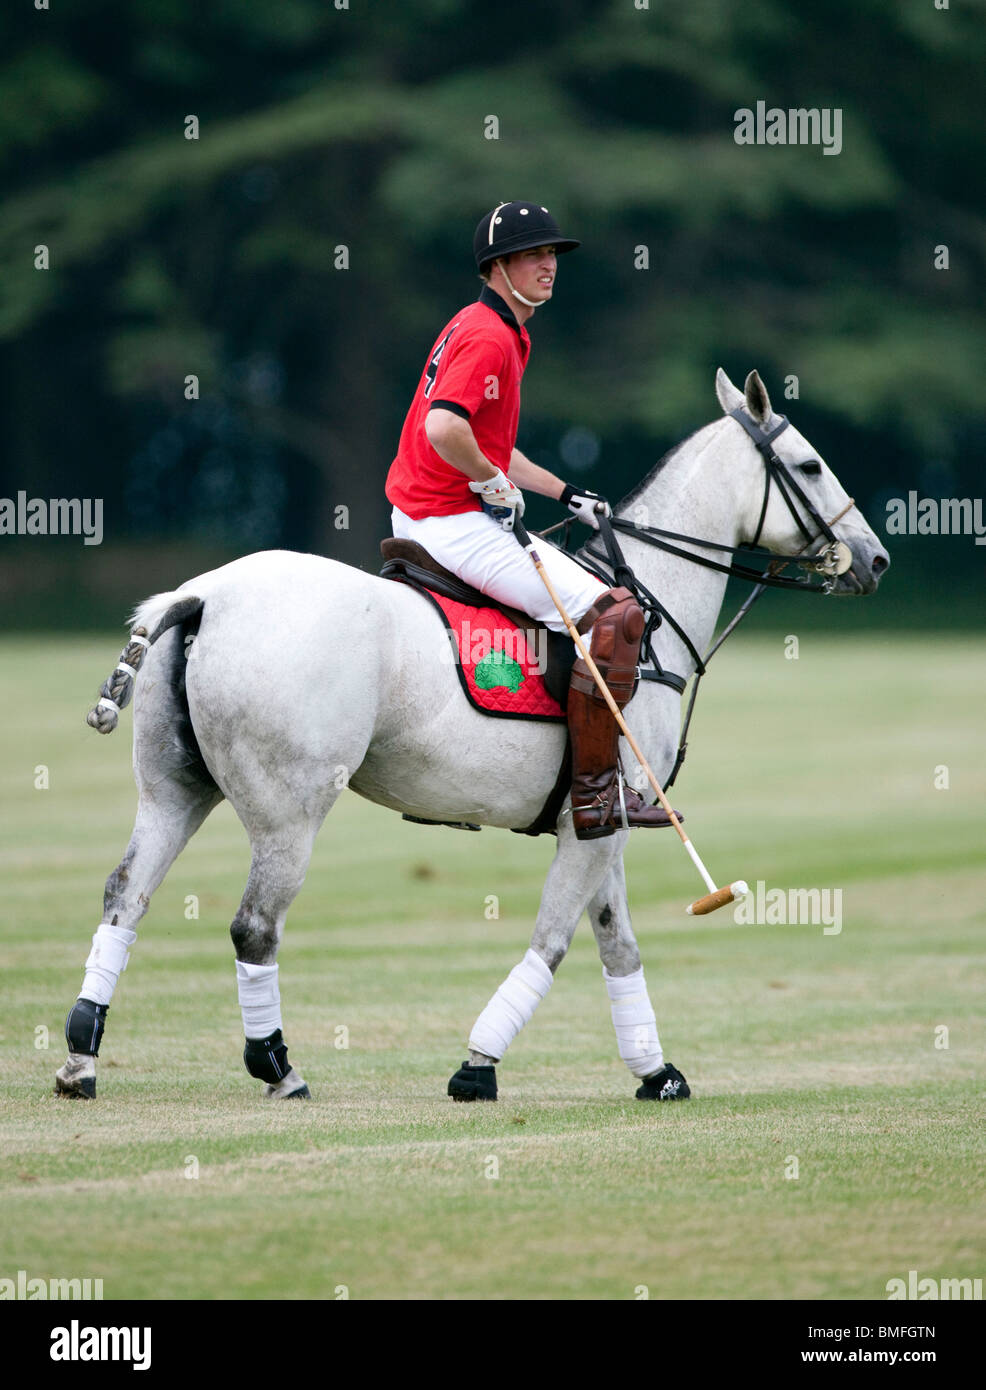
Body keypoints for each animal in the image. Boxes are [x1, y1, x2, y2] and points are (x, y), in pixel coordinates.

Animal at [51, 366, 884, 1095]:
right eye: (810, 465)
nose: (874, 559)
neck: (653, 605)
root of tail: (202, 596)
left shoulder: (607, 818)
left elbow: (618, 944)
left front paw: (657, 1073)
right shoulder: (592, 824)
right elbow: (554, 940)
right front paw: (478, 1066)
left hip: (174, 789)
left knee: (125, 892)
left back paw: (80, 1059)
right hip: (290, 809)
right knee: (255, 925)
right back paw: (279, 1068)